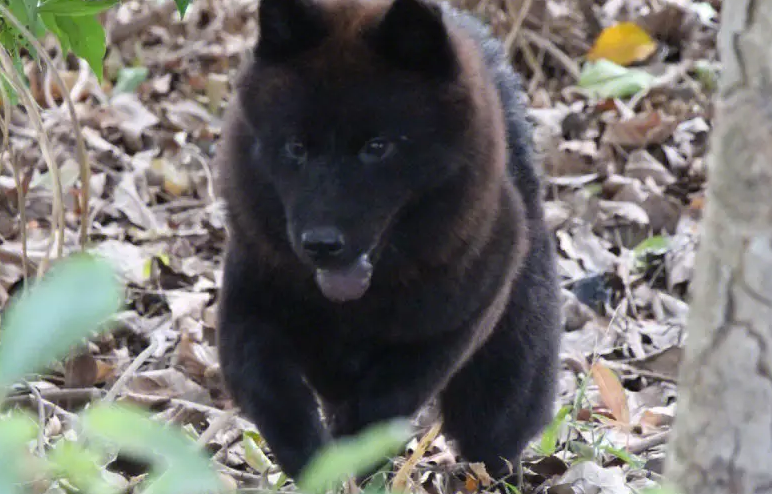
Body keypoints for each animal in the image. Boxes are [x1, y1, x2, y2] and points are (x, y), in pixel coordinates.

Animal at [215, 0, 561, 485]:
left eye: (377, 147)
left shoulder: (451, 326)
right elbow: (275, 397)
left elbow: (384, 401)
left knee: (493, 434)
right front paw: (316, 464)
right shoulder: (250, 315)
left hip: (508, 370)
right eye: (296, 147)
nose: (321, 243)